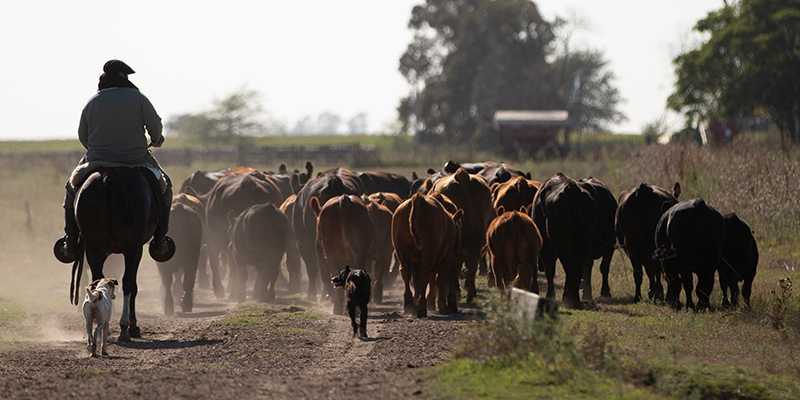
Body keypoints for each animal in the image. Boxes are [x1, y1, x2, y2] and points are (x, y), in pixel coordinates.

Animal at [56, 166, 175, 340]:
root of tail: (109, 179)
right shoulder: (134, 249)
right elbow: (132, 286)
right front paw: (132, 326)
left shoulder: (102, 250)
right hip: (132, 248)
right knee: (128, 284)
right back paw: (125, 328)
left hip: (93, 247)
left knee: (98, 280)